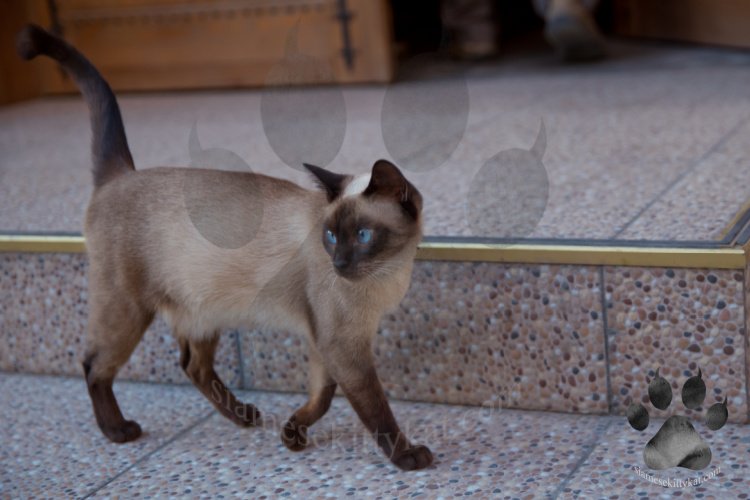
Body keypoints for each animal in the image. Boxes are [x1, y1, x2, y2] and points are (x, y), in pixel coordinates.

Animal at [19, 24, 434, 468]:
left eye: (362, 236)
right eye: (331, 236)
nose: (338, 263)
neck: (390, 273)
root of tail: (120, 175)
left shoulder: (323, 341)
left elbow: (320, 397)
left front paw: (293, 434)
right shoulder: (342, 346)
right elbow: (375, 411)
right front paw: (408, 457)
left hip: (202, 310)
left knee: (192, 365)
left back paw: (243, 416)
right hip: (128, 309)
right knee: (94, 365)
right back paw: (118, 432)